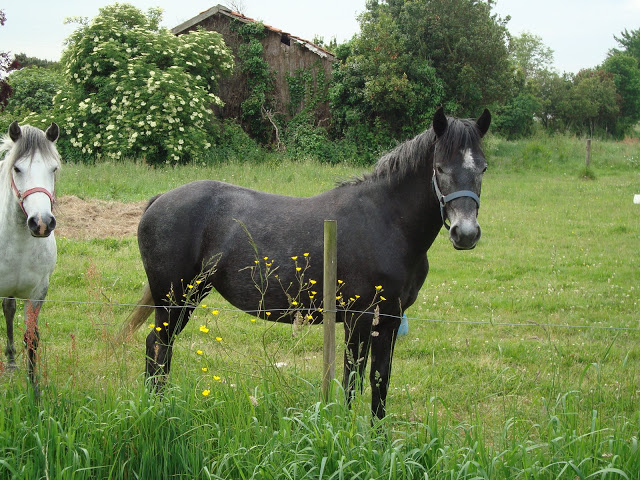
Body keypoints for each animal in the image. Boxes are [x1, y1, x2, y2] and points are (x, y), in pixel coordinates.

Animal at [126, 107, 496, 418]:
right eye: (440, 168)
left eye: (482, 168)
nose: (465, 233)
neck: (386, 221)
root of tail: (160, 200)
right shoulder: (358, 320)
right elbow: (351, 382)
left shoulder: (389, 320)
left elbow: (379, 383)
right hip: (173, 300)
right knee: (158, 347)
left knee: (159, 349)